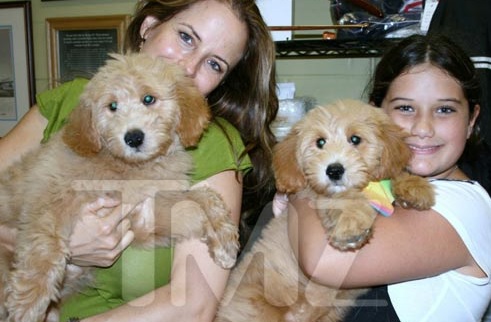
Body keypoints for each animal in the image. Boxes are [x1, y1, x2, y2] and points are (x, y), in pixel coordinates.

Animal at [0, 53, 239, 322]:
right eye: (112, 106)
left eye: (148, 99)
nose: (133, 137)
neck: (126, 166)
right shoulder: (48, 198)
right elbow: (44, 246)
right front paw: (27, 304)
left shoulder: (143, 213)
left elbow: (202, 198)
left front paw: (225, 242)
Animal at [215, 99, 434, 322]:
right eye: (320, 142)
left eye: (355, 139)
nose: (334, 170)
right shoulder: (316, 196)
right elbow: (343, 199)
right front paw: (351, 226)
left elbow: (394, 177)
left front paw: (414, 188)